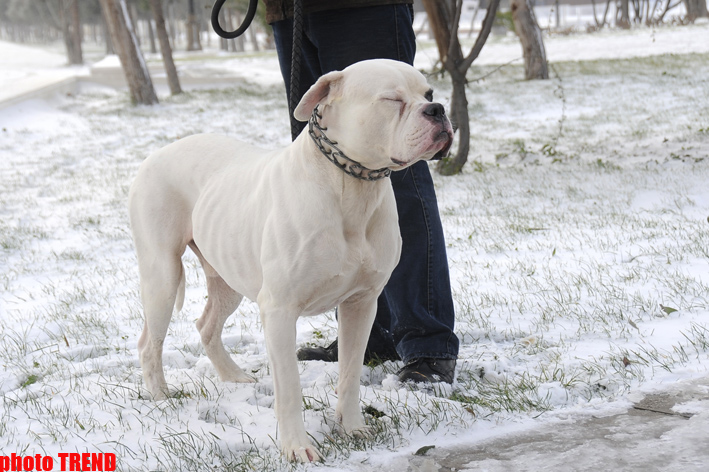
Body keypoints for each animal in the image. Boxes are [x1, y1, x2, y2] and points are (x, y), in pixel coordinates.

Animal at [128, 59, 450, 460]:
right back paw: (160, 397)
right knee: (150, 342)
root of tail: (158, 152)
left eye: (429, 93)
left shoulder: (361, 304)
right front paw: (297, 447)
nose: (438, 110)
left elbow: (350, 374)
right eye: (392, 99)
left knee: (206, 325)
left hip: (228, 278)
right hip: (163, 275)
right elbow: (291, 386)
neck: (352, 185)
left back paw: (233, 376)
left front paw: (352, 428)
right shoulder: (279, 310)